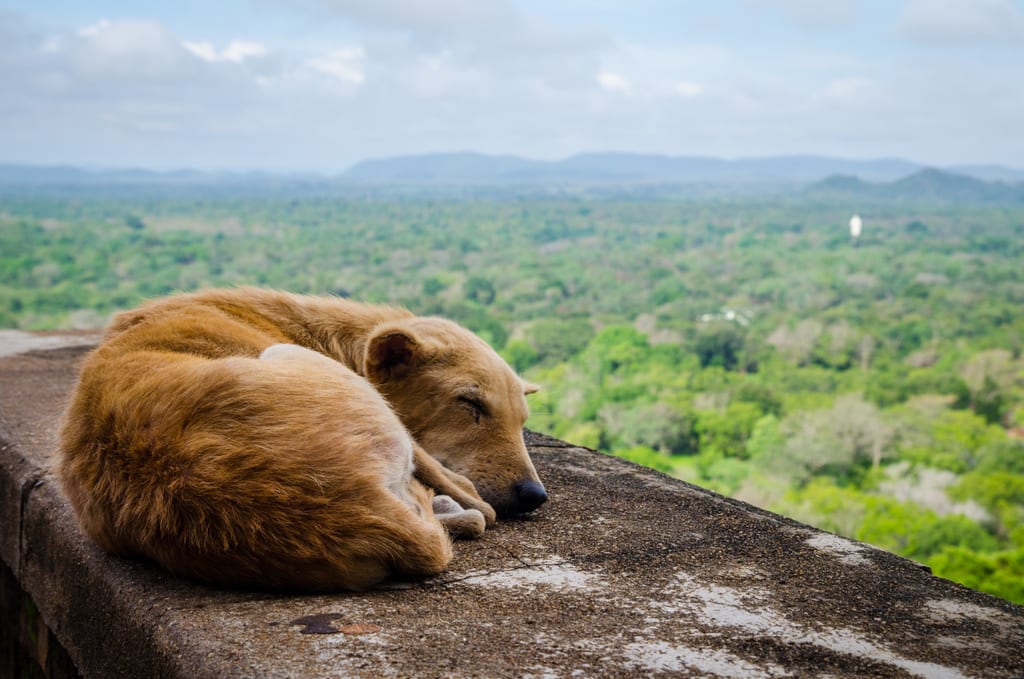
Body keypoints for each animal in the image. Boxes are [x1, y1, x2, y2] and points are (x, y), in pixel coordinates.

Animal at [55, 288, 544, 593]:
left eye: (522, 420)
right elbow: (469, 498)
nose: (534, 495)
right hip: (290, 359)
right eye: (469, 403)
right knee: (473, 511)